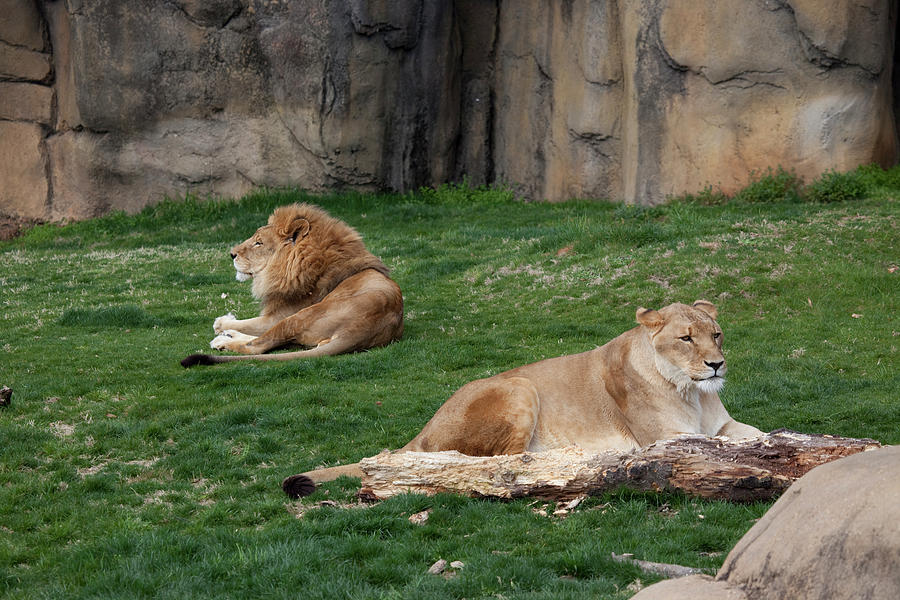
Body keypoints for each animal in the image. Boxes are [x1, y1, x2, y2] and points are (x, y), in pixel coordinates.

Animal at [180, 204, 404, 368]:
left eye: (259, 243)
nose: (232, 254)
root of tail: (360, 330)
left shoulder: (277, 316)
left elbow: (250, 324)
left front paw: (222, 324)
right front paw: (226, 325)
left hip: (298, 317)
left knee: (257, 346)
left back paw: (222, 341)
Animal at [282, 300, 760, 496]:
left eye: (716, 334)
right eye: (686, 338)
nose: (717, 365)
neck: (693, 392)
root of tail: (424, 430)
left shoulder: (721, 423)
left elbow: (752, 434)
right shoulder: (666, 438)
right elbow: (719, 447)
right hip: (520, 387)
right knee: (503, 464)